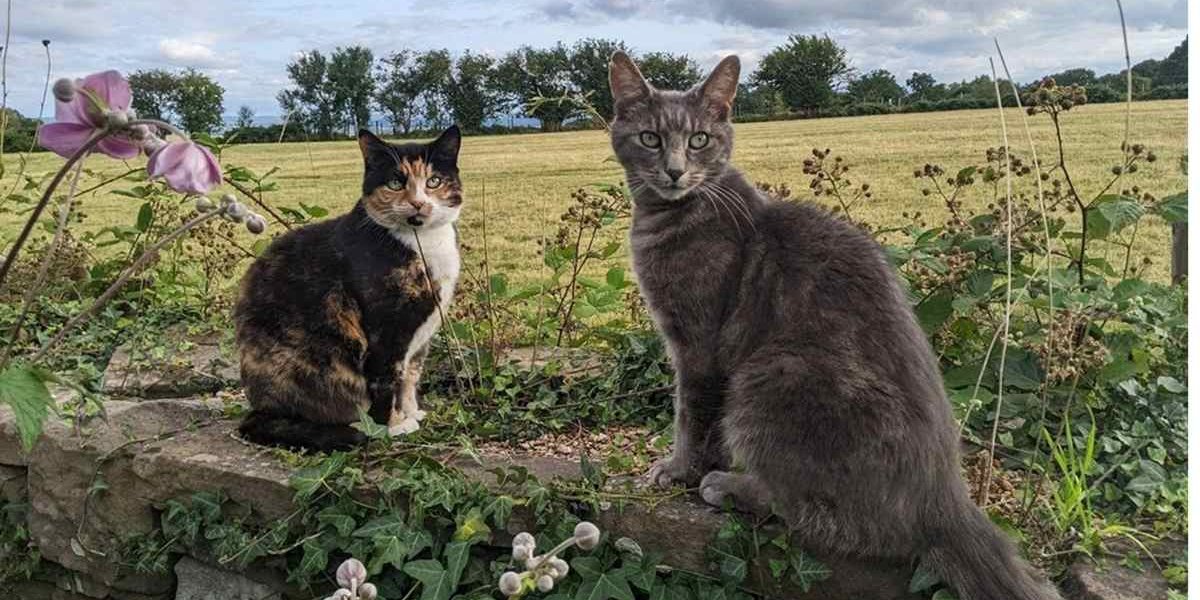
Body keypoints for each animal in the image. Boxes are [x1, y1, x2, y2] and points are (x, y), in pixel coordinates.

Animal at [236, 127, 460, 453]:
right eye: (395, 182)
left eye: (434, 181)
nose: (419, 203)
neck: (424, 243)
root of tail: (261, 408)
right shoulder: (386, 329)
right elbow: (388, 378)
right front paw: (394, 425)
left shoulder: (421, 337)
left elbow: (411, 375)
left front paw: (412, 412)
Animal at [609, 51, 1060, 600]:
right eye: (650, 138)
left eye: (699, 139)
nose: (675, 171)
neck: (670, 214)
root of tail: (945, 500)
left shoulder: (697, 345)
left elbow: (690, 415)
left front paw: (678, 471)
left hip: (773, 374)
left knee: (832, 520)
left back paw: (732, 488)